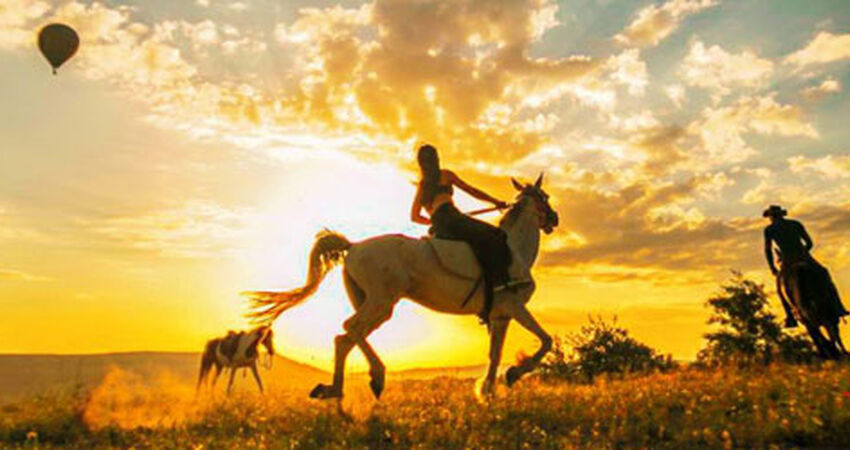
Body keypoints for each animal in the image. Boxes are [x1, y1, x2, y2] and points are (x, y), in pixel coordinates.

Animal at [244, 174, 559, 399]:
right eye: (545, 197)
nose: (554, 220)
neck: (514, 248)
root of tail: (353, 246)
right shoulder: (514, 306)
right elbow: (545, 341)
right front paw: (515, 374)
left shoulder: (500, 315)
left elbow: (495, 355)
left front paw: (488, 392)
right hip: (381, 302)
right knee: (349, 329)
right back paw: (374, 377)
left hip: (375, 304)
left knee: (346, 337)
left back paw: (338, 389)